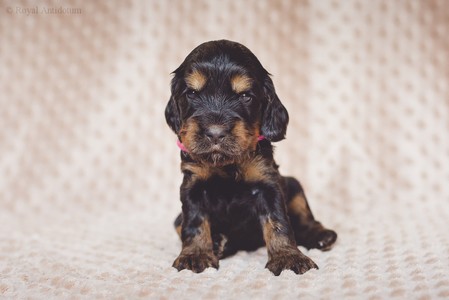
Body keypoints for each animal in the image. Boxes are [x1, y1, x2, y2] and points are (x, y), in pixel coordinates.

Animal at [164, 40, 336, 276]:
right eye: (191, 93)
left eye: (245, 96)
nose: (215, 133)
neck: (227, 165)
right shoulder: (193, 185)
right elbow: (194, 222)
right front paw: (195, 255)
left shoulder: (267, 182)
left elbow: (278, 222)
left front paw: (288, 257)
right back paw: (218, 242)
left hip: (294, 184)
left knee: (305, 218)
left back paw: (321, 236)